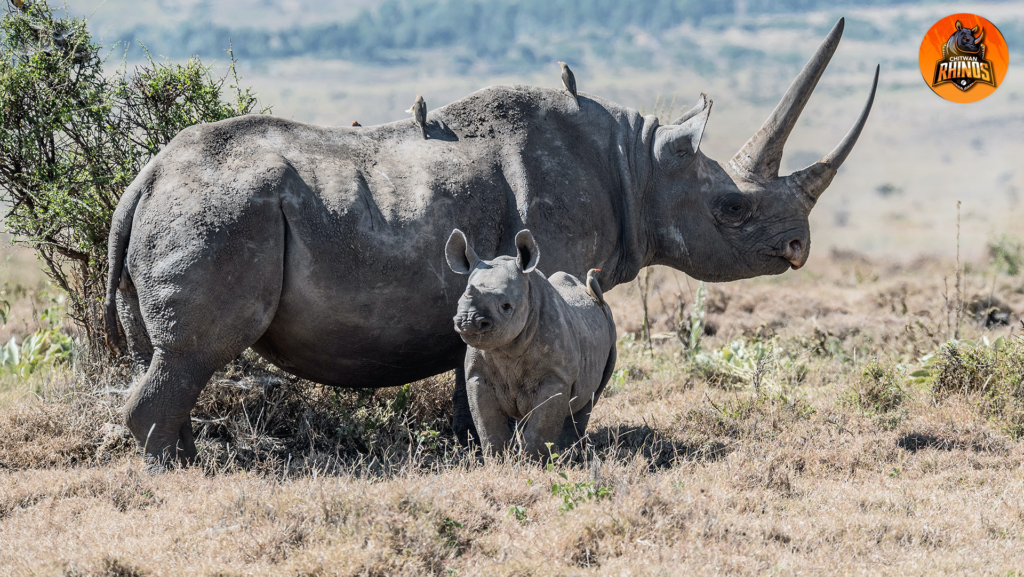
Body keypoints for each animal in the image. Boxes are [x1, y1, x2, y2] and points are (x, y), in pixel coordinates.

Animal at [446, 228, 616, 456]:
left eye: (506, 306)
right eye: (458, 303)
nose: (468, 321)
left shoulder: (556, 376)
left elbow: (540, 430)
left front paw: (532, 461)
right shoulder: (477, 375)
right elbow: (488, 427)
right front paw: (498, 459)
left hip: (610, 332)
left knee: (588, 400)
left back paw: (567, 455)